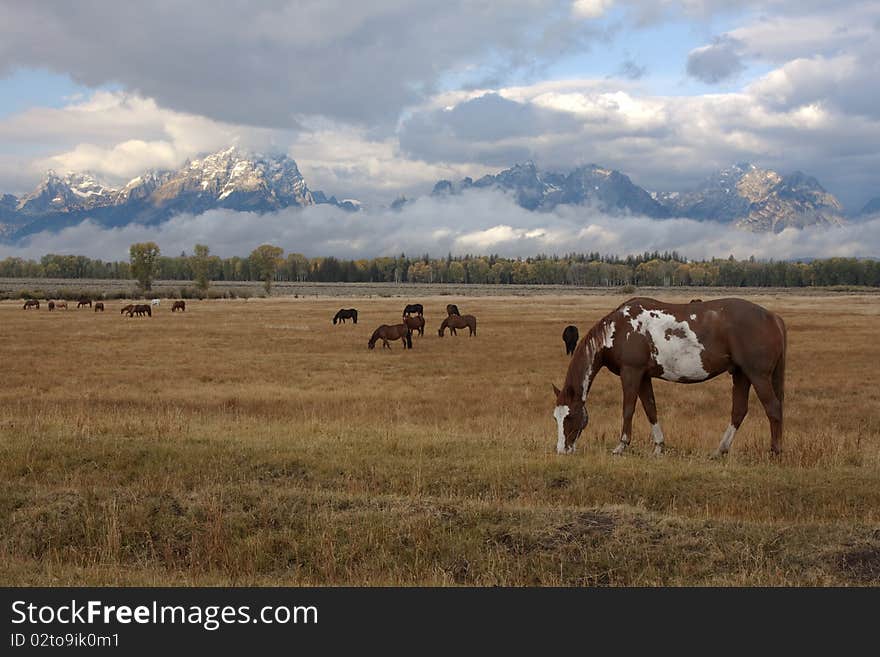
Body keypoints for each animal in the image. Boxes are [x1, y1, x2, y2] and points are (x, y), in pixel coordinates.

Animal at [552, 298, 788, 456]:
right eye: (556, 418)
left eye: (569, 417)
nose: (562, 449)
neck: (619, 329)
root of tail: (774, 318)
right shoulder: (643, 376)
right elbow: (650, 409)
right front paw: (659, 447)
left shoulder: (631, 372)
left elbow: (628, 408)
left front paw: (621, 446)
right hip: (741, 374)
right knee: (739, 411)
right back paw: (719, 451)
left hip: (758, 375)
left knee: (773, 408)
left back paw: (775, 452)